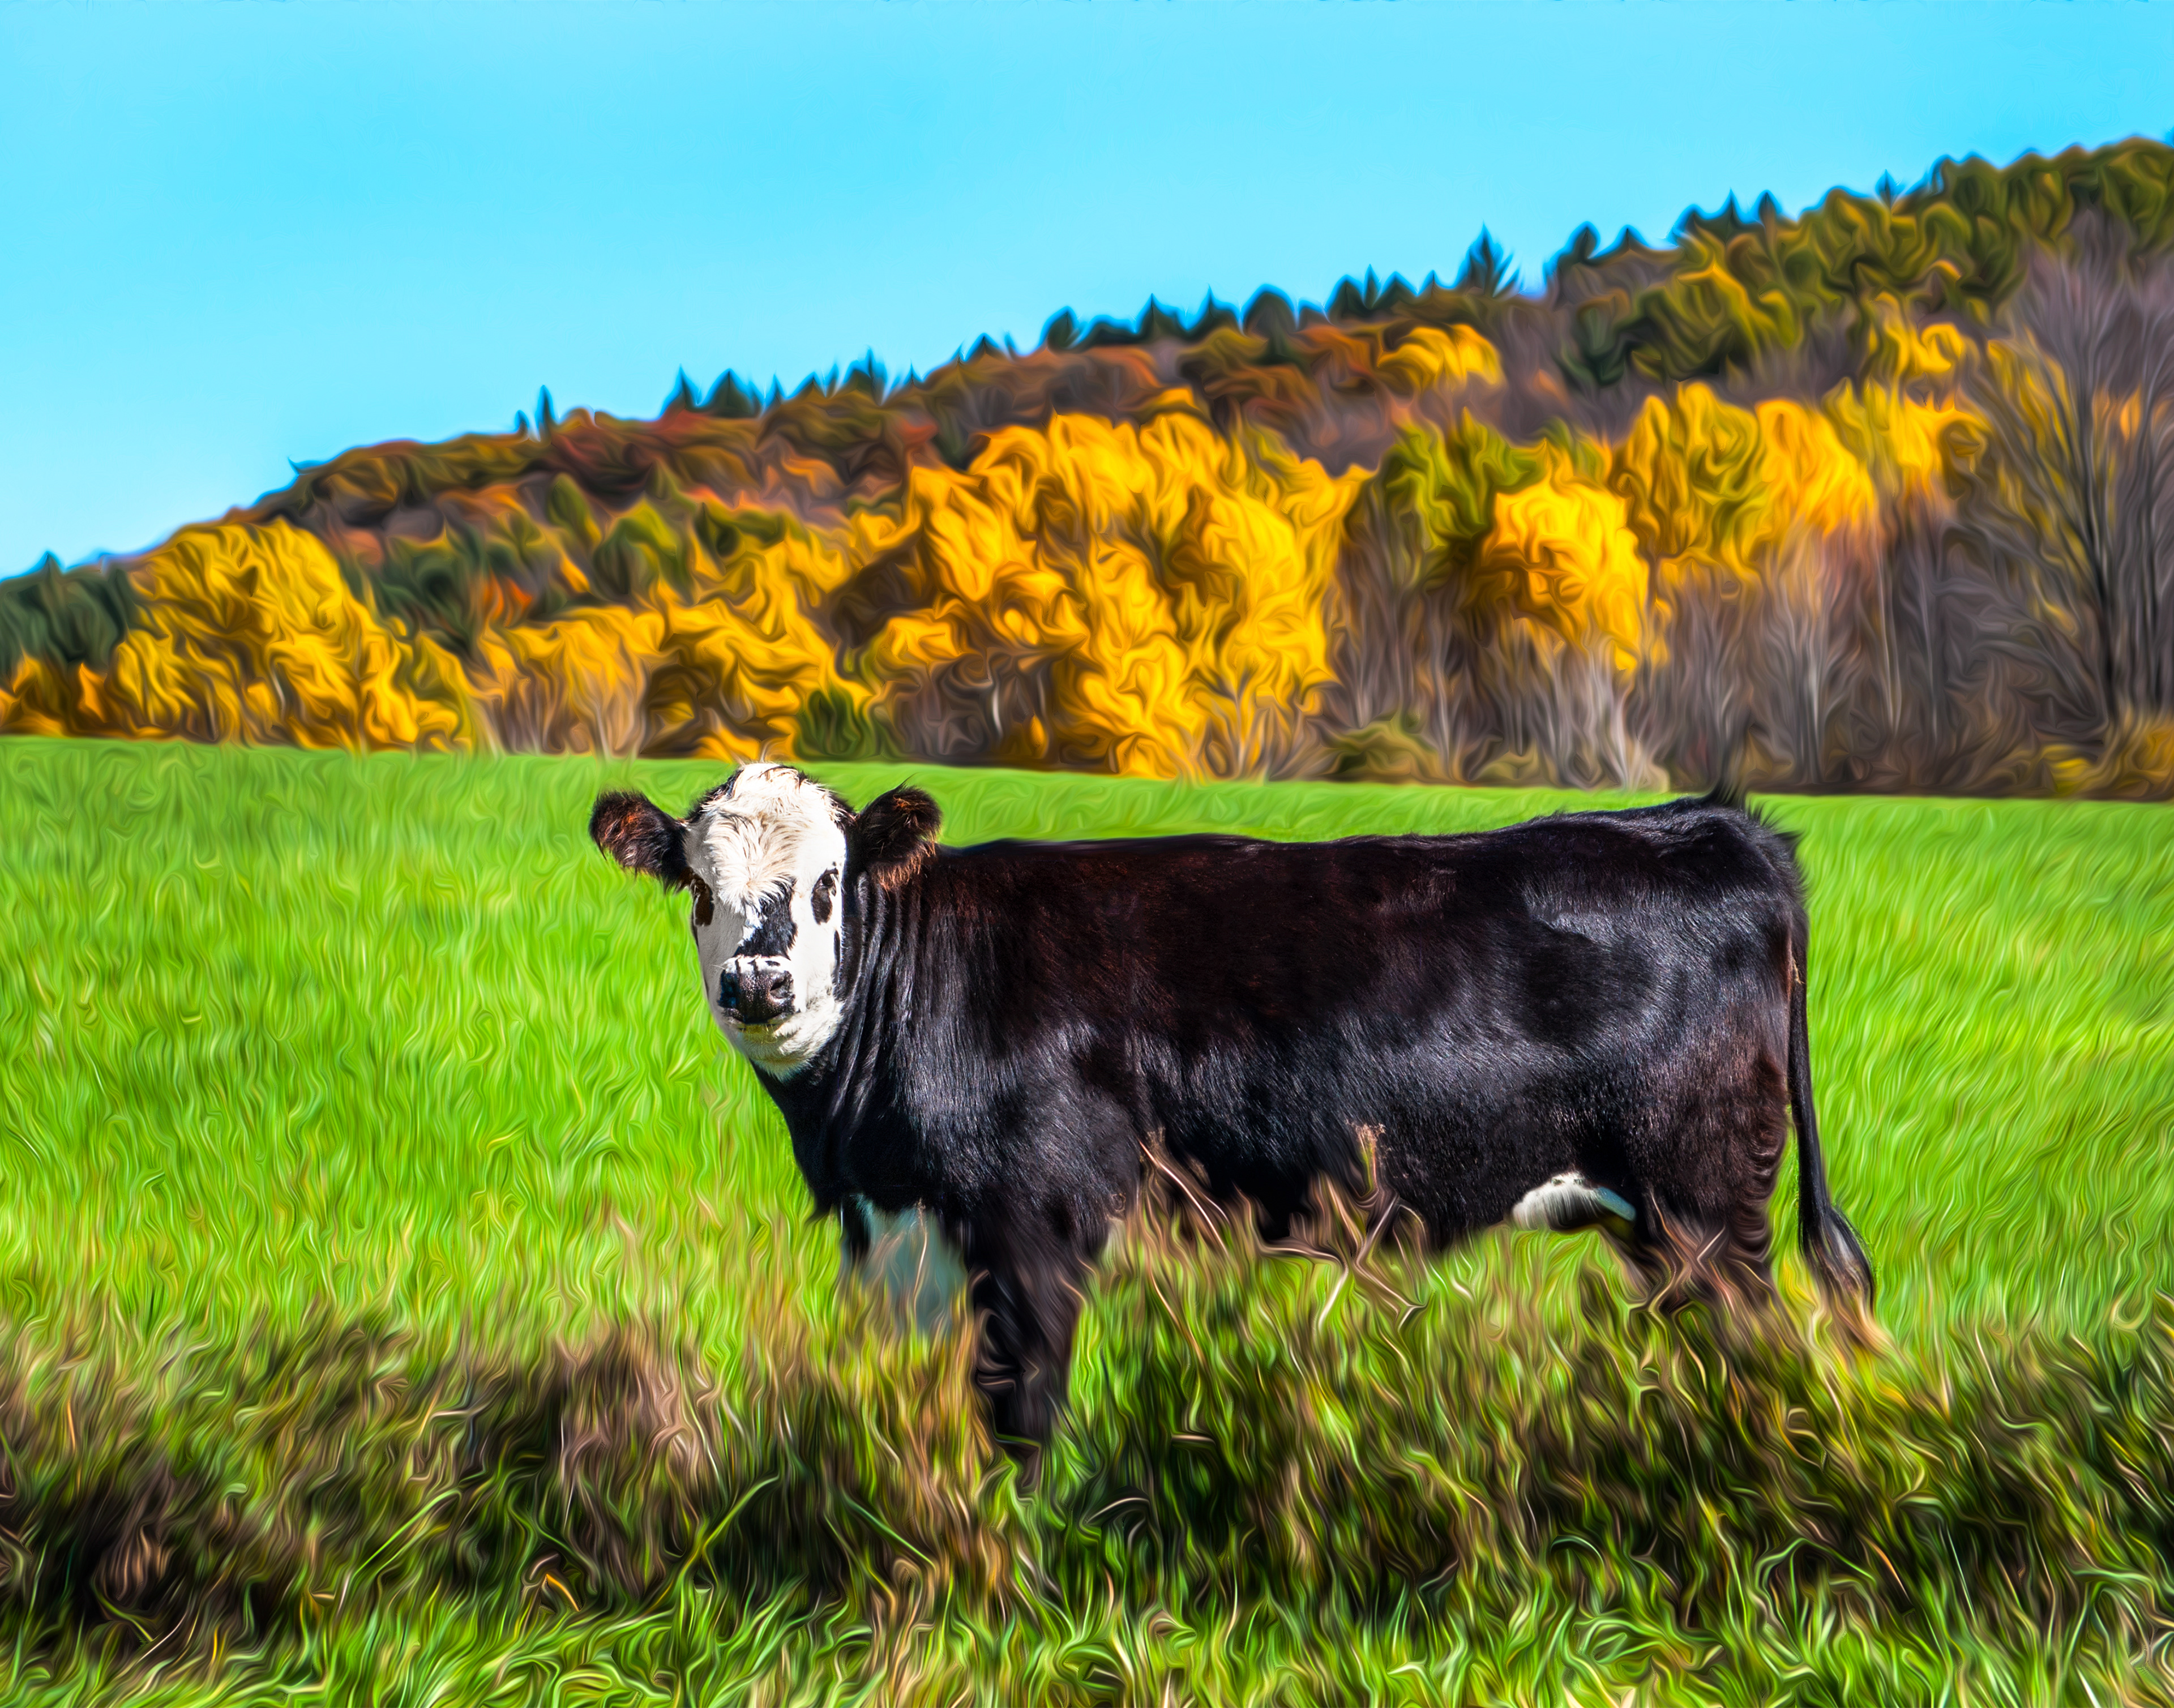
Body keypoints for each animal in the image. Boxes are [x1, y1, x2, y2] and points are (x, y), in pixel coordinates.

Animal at [589, 762, 1877, 1459]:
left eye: (827, 884)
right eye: (698, 887)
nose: (760, 984)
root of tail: (1709, 818)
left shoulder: (1037, 1226)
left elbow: (1021, 1417)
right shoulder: (908, 1246)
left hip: (1706, 1204)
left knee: (1761, 1349)